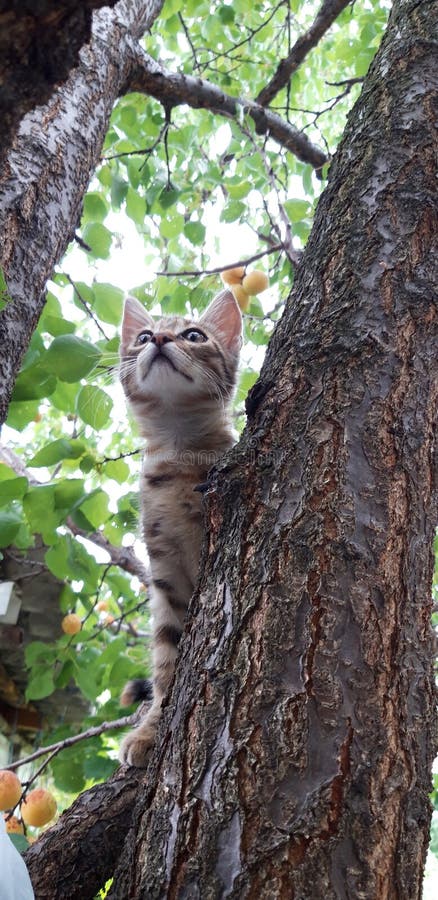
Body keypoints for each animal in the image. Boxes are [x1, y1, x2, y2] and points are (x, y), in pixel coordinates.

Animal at [118, 288, 242, 767]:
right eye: (143, 336)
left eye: (193, 335)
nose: (160, 338)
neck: (179, 451)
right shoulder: (165, 572)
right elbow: (166, 660)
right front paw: (150, 729)